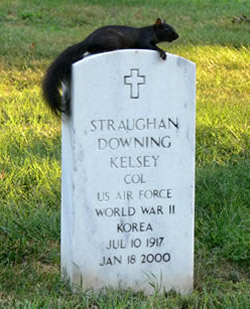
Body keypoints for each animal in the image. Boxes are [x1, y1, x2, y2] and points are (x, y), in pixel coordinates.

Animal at [42, 18, 178, 115]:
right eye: (166, 30)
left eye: (172, 27)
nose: (177, 36)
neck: (151, 31)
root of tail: (87, 40)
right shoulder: (143, 40)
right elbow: (150, 46)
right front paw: (162, 51)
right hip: (113, 41)